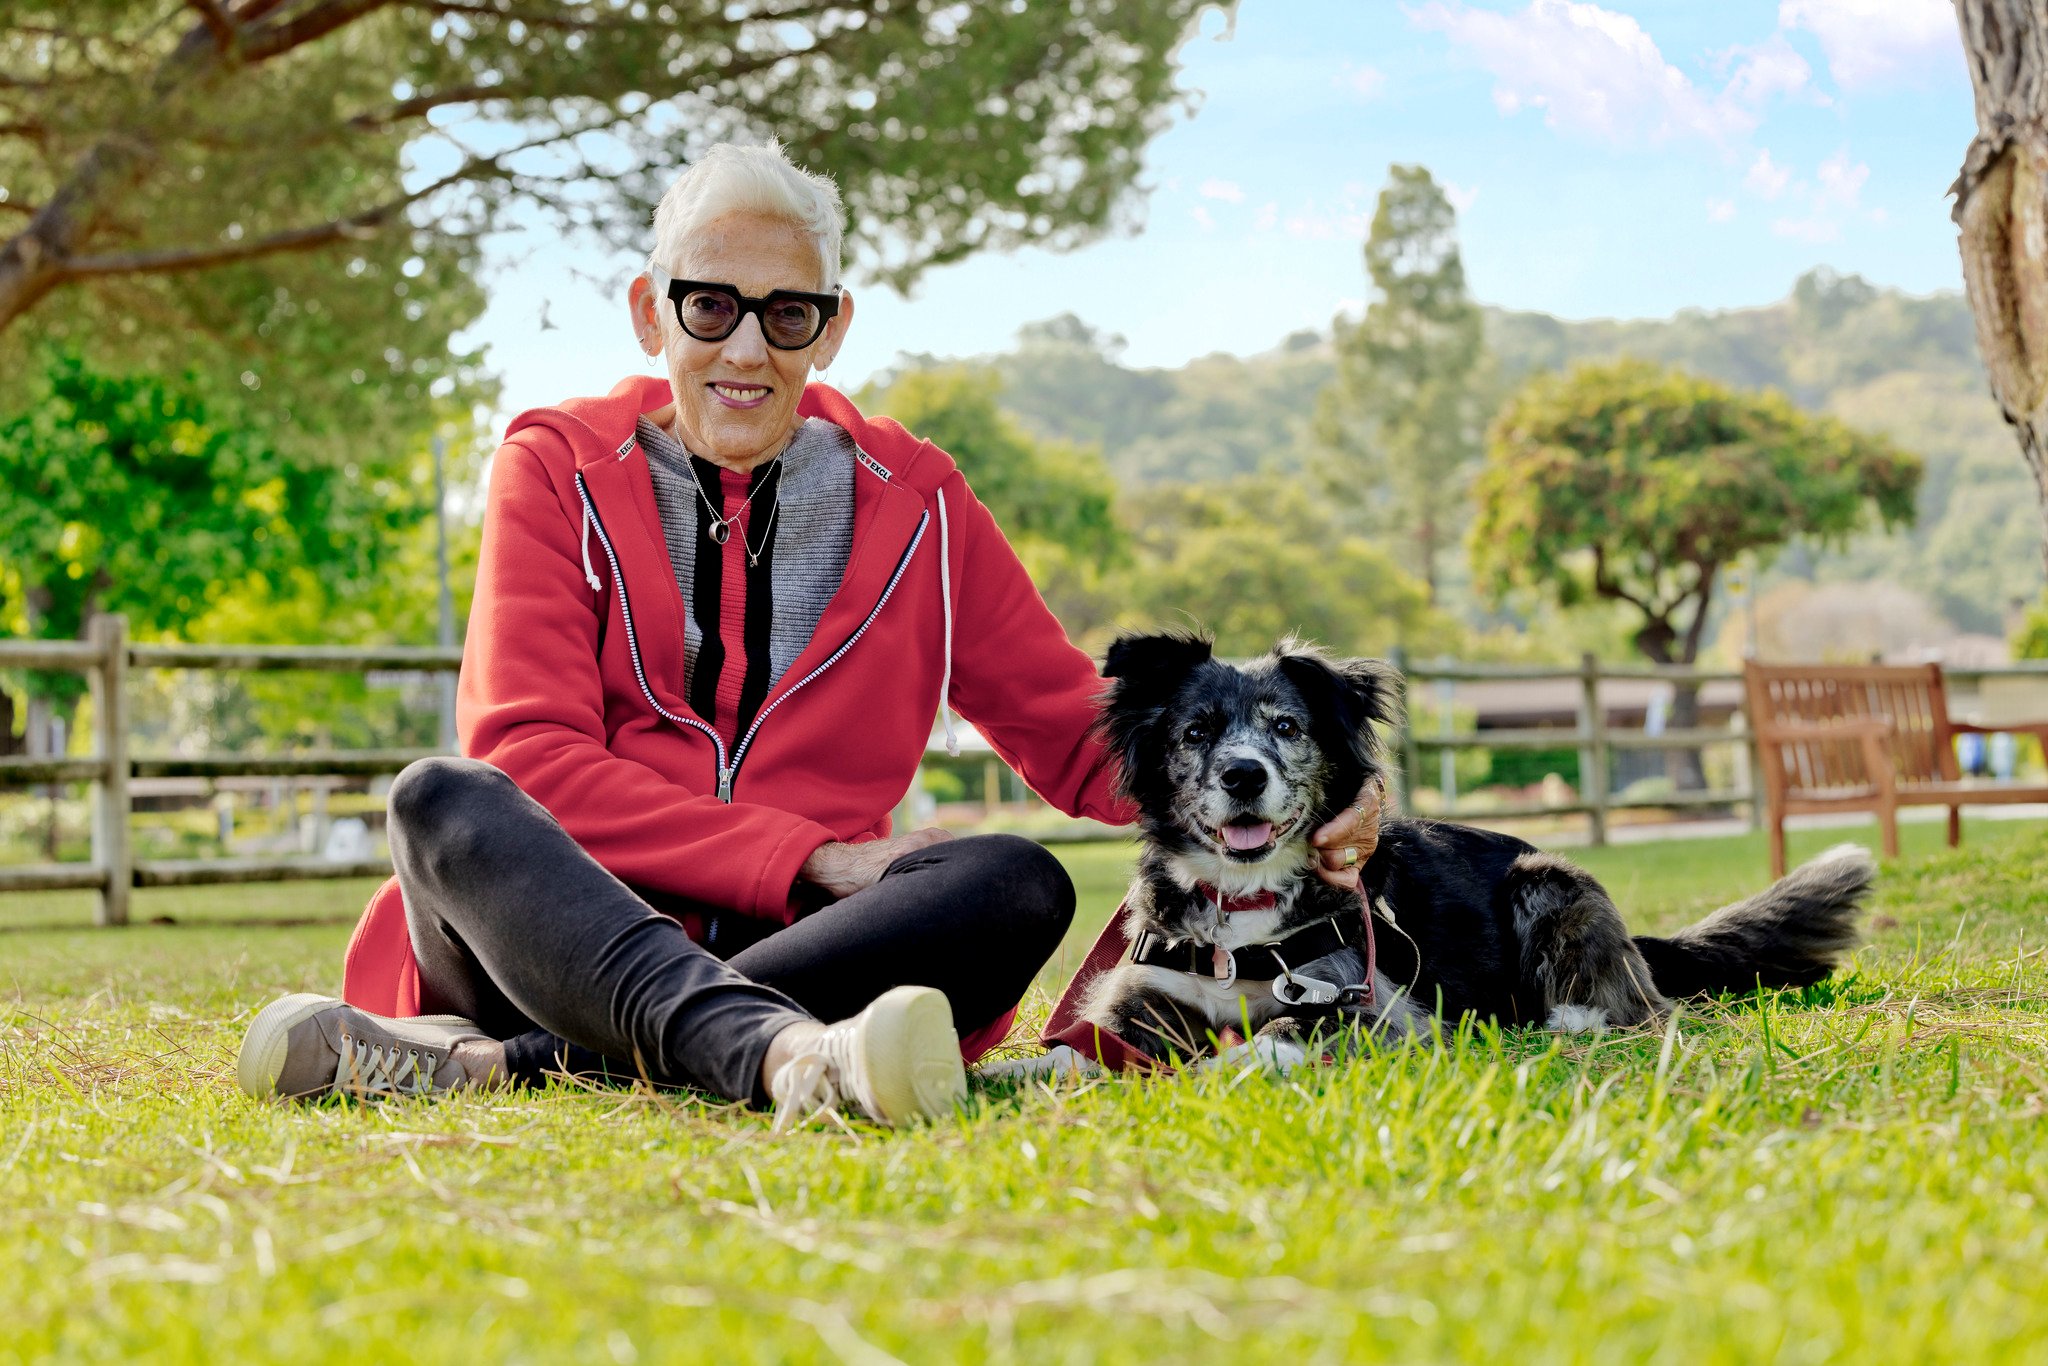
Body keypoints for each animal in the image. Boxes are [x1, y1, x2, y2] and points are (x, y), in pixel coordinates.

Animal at [991, 634, 1875, 1081]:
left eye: (1286, 727)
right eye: (1196, 731)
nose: (1245, 776)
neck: (1244, 912)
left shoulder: (1377, 1012)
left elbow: (1275, 1034)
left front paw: (1230, 1064)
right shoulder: (1132, 1004)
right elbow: (1077, 1054)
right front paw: (1003, 1078)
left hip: (1548, 880)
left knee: (1629, 1009)